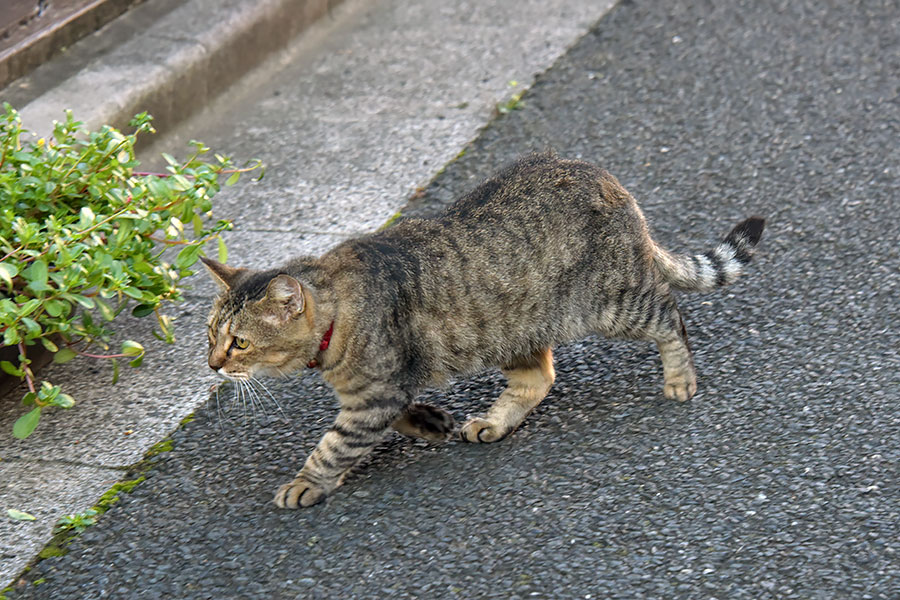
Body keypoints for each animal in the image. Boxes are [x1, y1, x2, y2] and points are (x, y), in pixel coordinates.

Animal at [200, 152, 764, 508]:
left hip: (613, 302)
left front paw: (305, 482)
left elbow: (333, 445)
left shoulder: (376, 392)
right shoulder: (382, 390)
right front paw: (430, 423)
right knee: (540, 377)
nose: (212, 364)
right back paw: (494, 420)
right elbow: (395, 416)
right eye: (210, 335)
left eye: (240, 342)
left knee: (670, 314)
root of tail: (606, 178)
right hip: (507, 330)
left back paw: (679, 377)